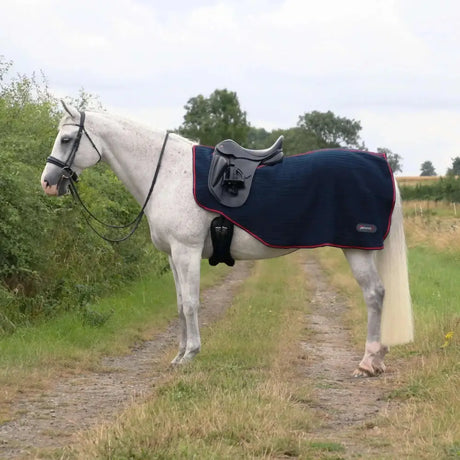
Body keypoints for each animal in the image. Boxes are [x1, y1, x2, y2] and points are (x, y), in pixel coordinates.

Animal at [40, 101, 414, 378]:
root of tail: (381, 166)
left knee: (374, 294)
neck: (167, 174)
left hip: (357, 249)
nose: (47, 182)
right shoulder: (173, 255)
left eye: (67, 139)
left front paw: (190, 355)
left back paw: (368, 362)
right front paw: (178, 354)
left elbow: (192, 303)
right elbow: (180, 304)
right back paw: (378, 358)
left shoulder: (187, 251)